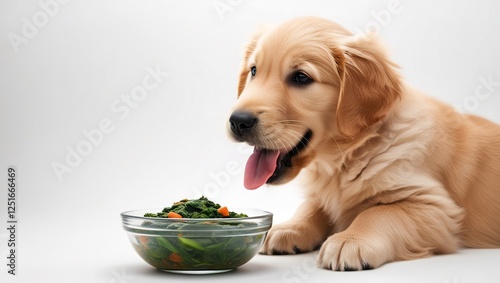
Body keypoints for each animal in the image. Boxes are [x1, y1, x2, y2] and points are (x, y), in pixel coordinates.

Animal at [227, 16, 500, 272]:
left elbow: (379, 212)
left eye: (301, 77)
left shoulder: (436, 208)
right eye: (254, 71)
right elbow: (312, 206)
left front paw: (349, 240)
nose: (238, 121)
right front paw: (290, 228)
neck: (350, 154)